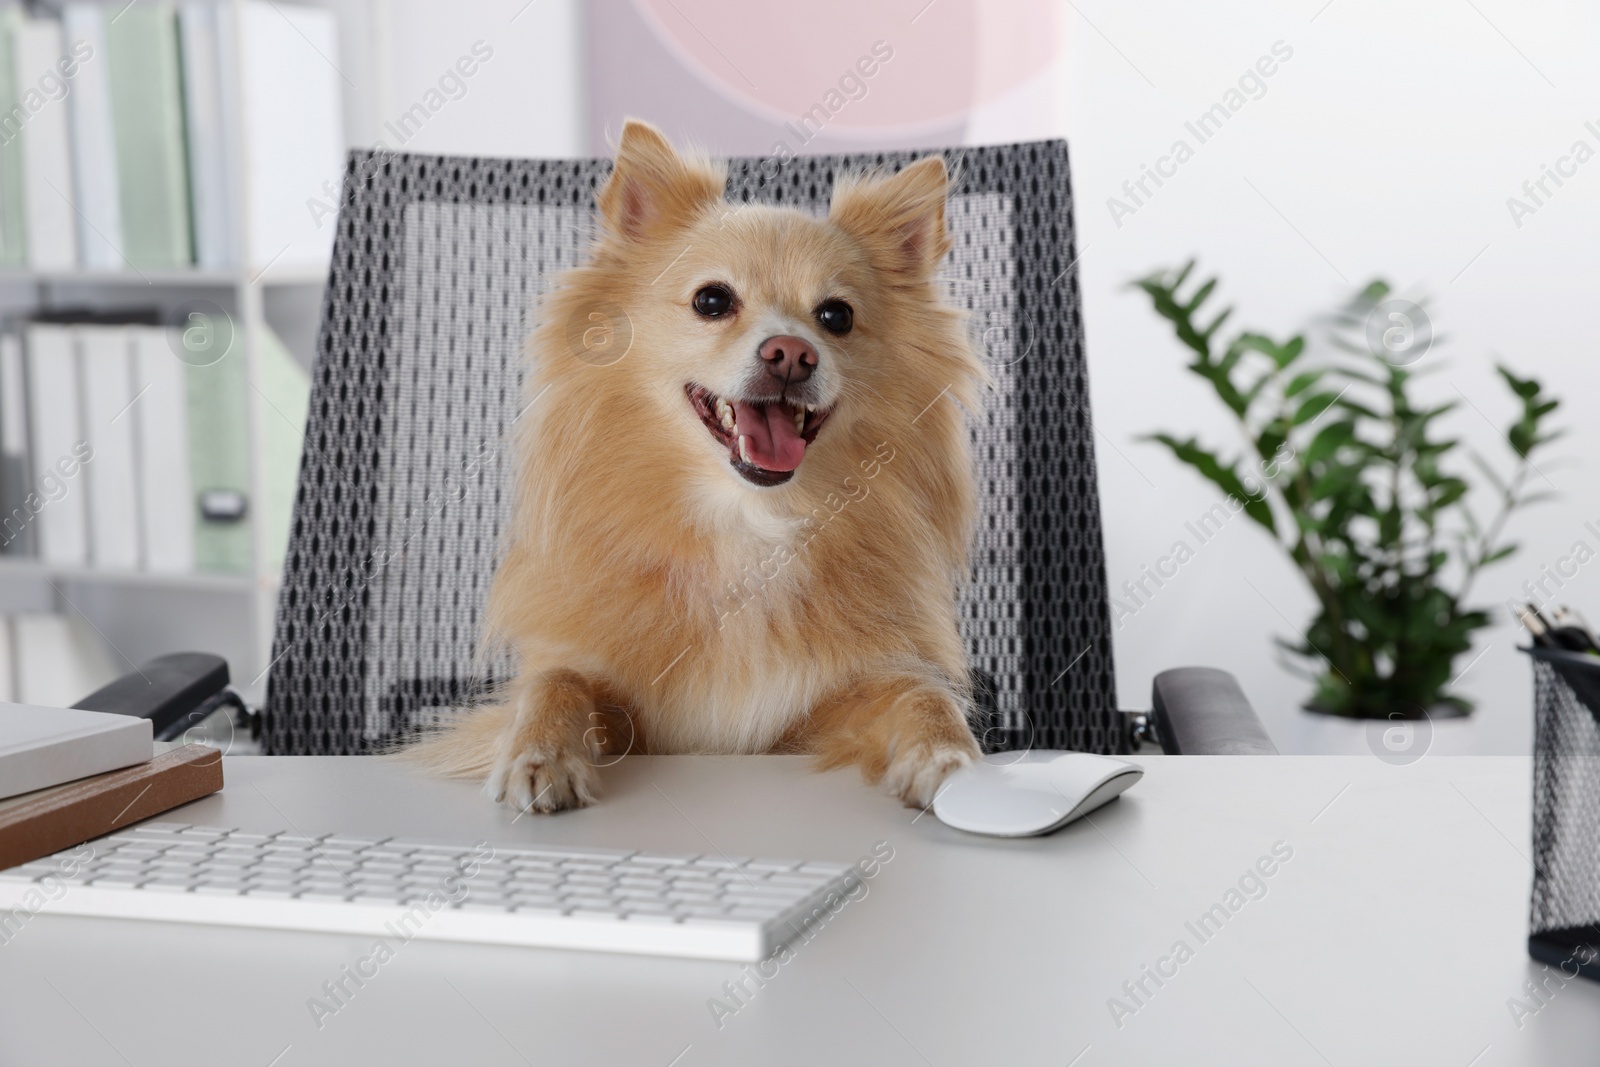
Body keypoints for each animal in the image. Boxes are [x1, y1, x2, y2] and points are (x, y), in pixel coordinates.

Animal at [406, 120, 979, 812]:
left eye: (836, 316)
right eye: (711, 300)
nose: (792, 353)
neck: (750, 523)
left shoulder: (830, 707)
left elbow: (922, 693)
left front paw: (946, 757)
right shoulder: (614, 696)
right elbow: (556, 682)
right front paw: (539, 754)